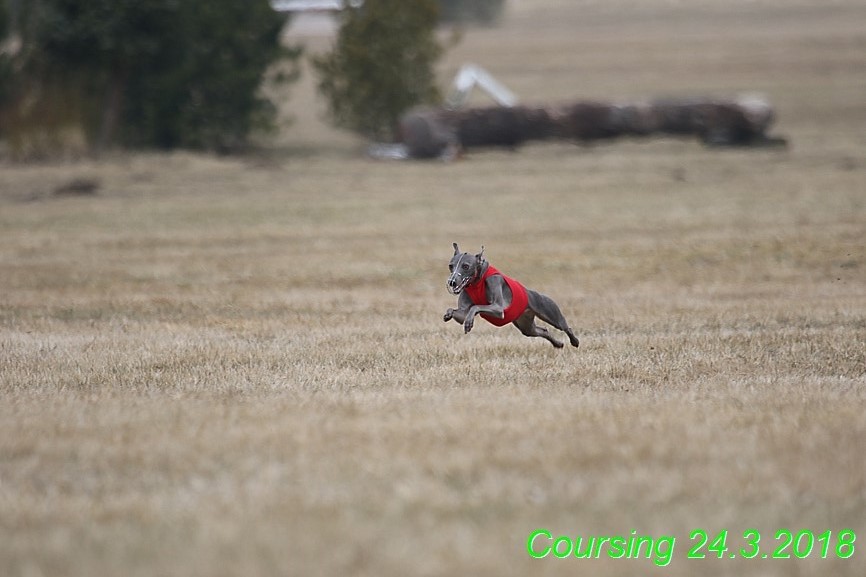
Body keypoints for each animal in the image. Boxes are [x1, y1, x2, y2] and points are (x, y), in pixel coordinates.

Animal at [442, 242, 576, 348]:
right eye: (450, 266)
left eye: (466, 266)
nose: (452, 282)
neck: (477, 282)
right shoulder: (462, 314)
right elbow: (458, 312)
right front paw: (448, 315)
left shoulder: (498, 308)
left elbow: (475, 307)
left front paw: (469, 322)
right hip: (526, 326)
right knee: (543, 330)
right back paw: (558, 344)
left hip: (550, 313)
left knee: (565, 327)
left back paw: (575, 341)